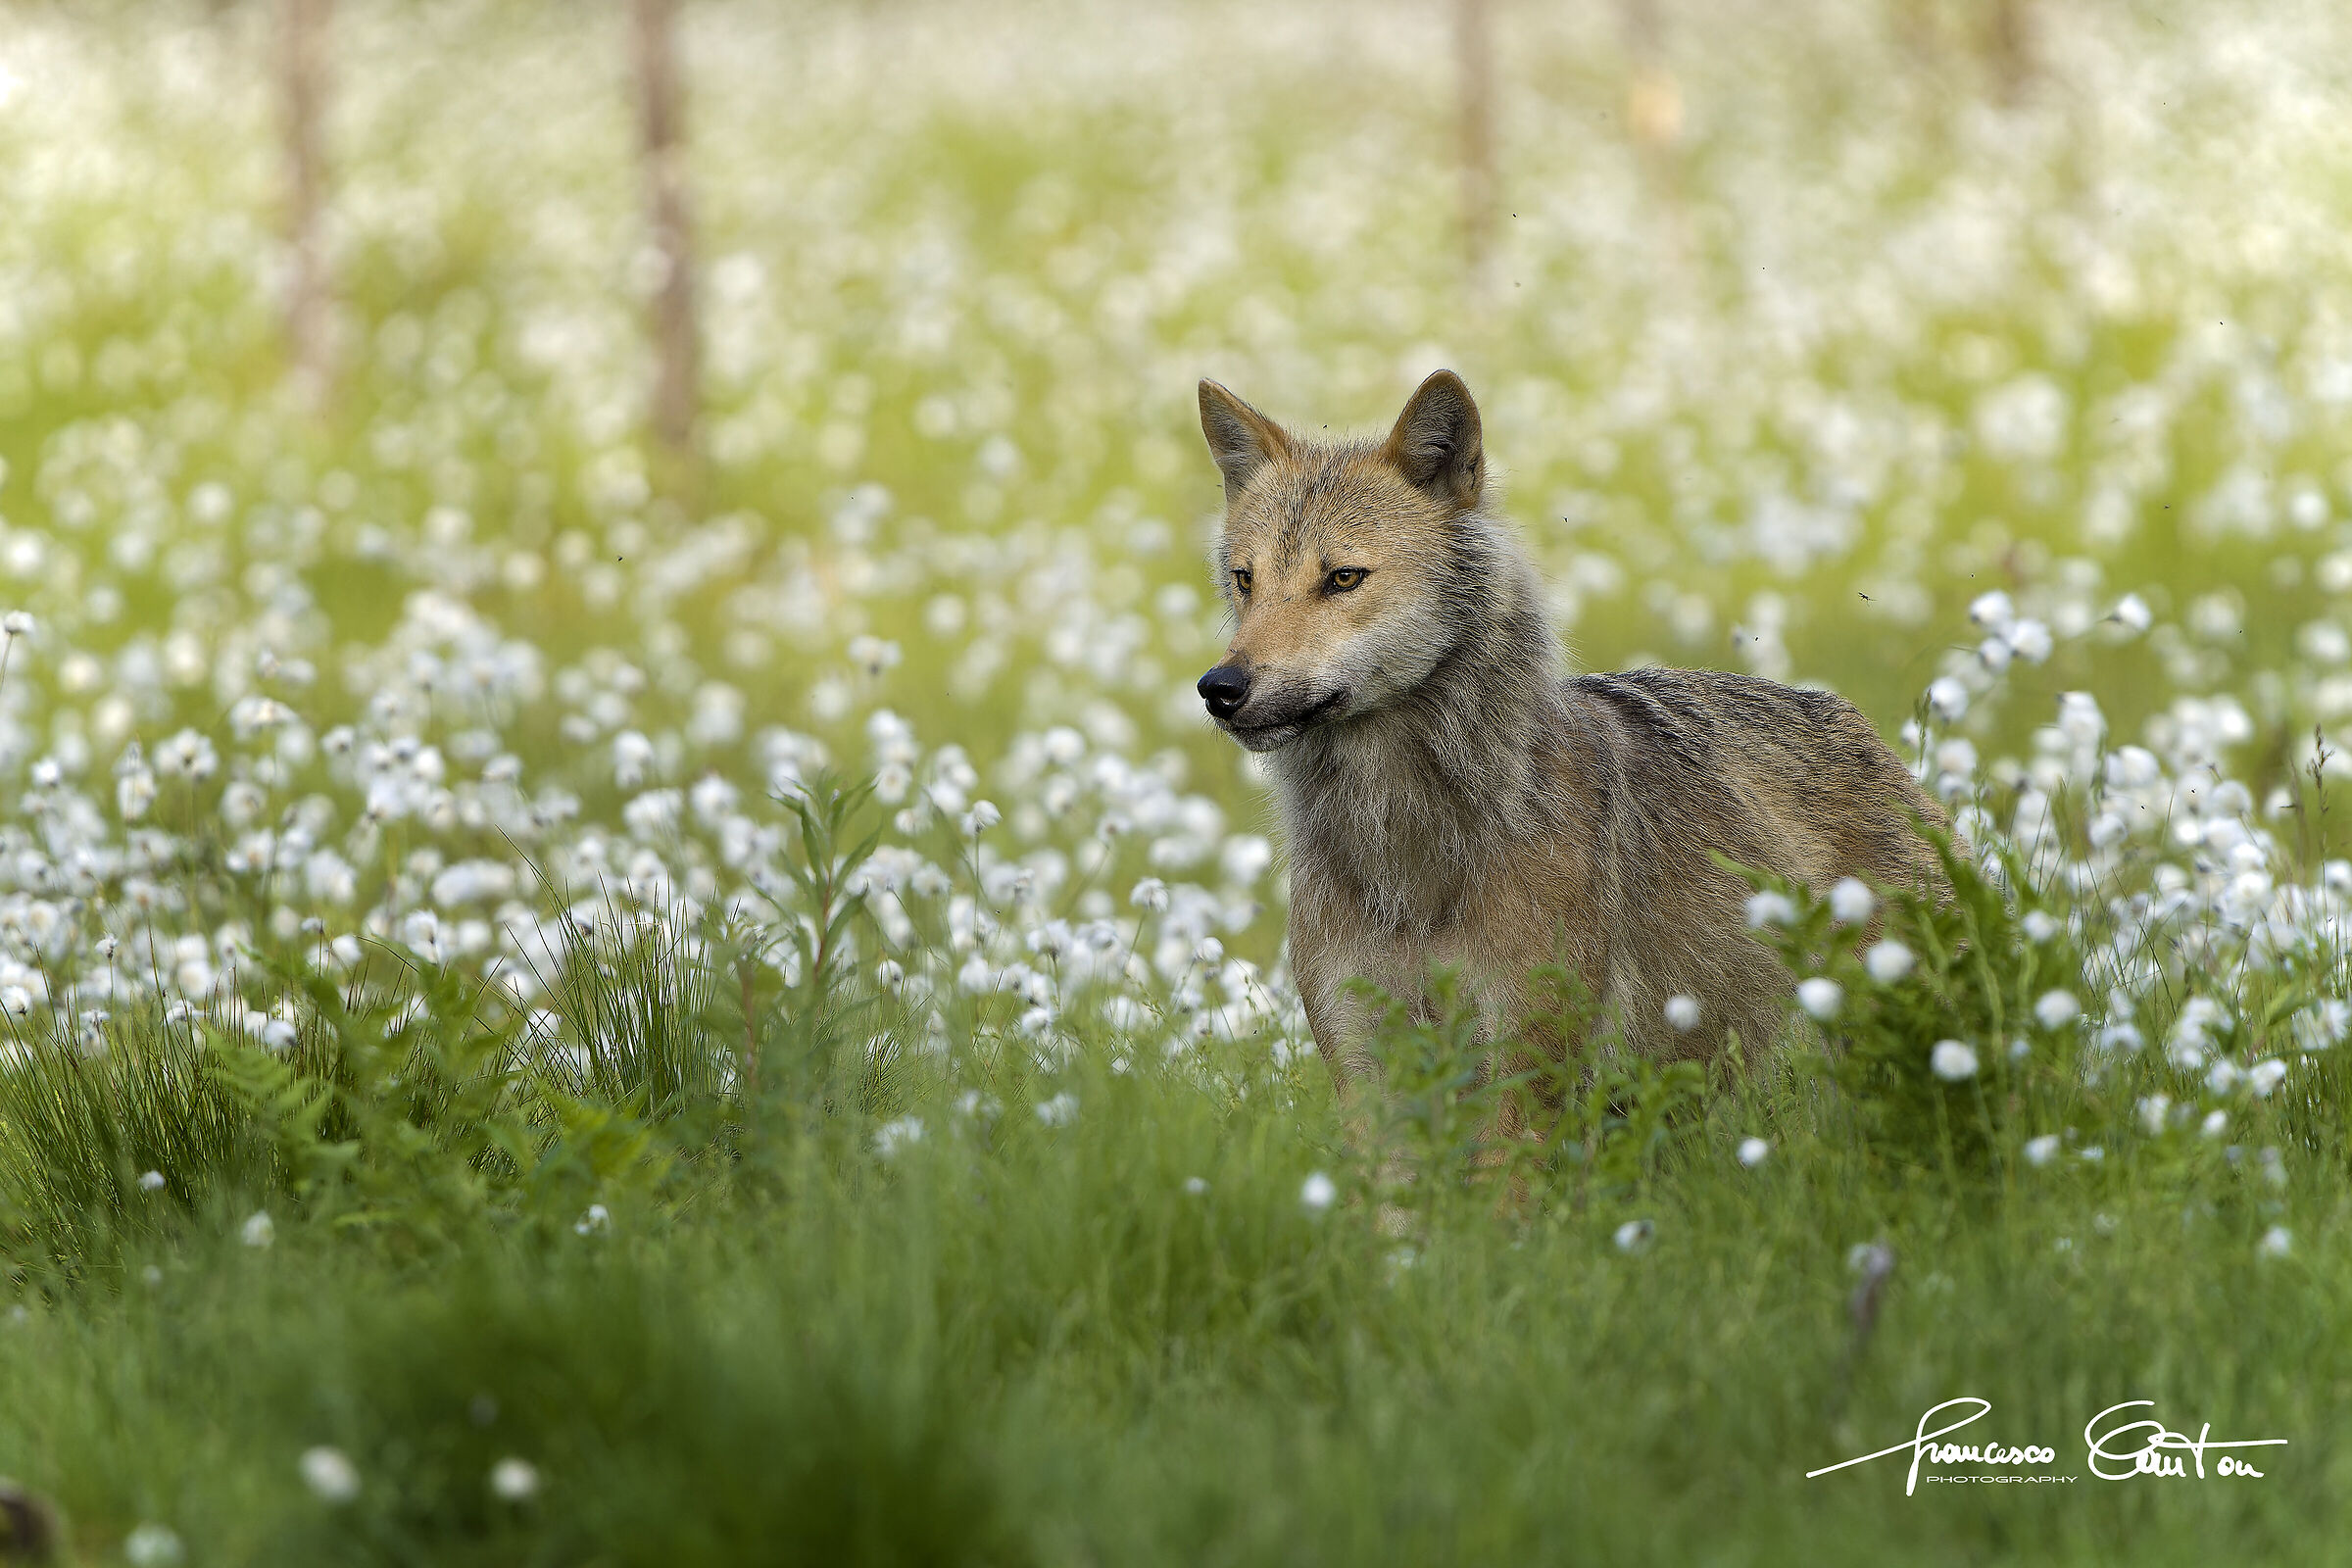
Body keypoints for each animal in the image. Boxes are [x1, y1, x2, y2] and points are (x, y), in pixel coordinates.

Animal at [1194, 369, 1945, 1101]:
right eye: (1245, 580)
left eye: (1343, 578)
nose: (1219, 688)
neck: (1404, 849)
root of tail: (1856, 722)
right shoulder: (1368, 1078)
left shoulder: (1527, 1072)